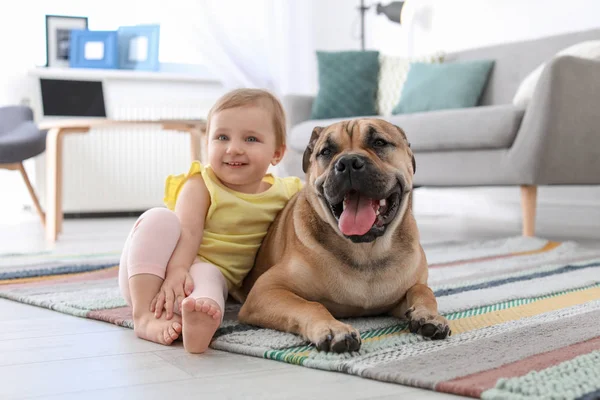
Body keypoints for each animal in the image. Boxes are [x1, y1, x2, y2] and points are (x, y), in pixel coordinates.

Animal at [237, 117, 448, 352]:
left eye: (379, 142)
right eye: (326, 151)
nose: (348, 163)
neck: (366, 251)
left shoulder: (402, 293)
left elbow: (423, 290)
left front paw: (429, 316)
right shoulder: (266, 290)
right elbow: (311, 305)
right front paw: (334, 329)